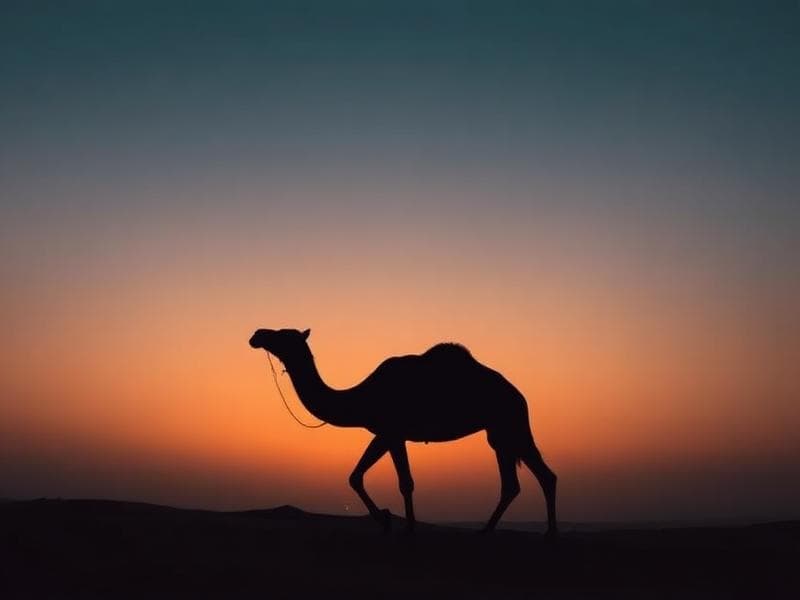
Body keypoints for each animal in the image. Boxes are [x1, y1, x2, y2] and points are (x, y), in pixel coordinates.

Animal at [249, 328, 558, 538]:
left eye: (283, 334)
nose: (257, 334)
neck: (362, 396)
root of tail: (519, 395)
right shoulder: (386, 433)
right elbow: (356, 476)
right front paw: (387, 520)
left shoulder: (392, 432)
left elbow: (403, 482)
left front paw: (403, 528)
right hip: (498, 432)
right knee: (513, 483)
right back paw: (486, 532)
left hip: (511, 421)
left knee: (544, 476)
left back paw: (548, 535)